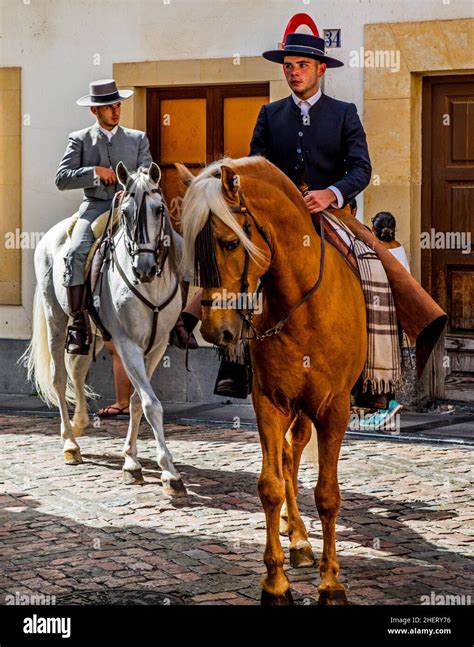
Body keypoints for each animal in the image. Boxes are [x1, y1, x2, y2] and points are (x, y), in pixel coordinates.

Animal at [21, 162, 187, 496]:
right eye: (124, 212)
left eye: (159, 209)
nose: (144, 269)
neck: (150, 287)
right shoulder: (128, 345)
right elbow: (151, 404)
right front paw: (168, 471)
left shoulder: (157, 346)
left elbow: (136, 402)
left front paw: (131, 460)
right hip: (56, 321)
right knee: (60, 378)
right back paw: (70, 443)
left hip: (91, 334)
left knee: (78, 370)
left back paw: (80, 423)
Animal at [178, 158, 366, 608]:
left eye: (231, 243)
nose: (215, 330)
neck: (302, 306)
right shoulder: (269, 402)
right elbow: (271, 485)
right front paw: (276, 582)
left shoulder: (333, 409)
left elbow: (327, 494)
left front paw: (330, 583)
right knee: (286, 459)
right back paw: (296, 537)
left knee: (295, 452)